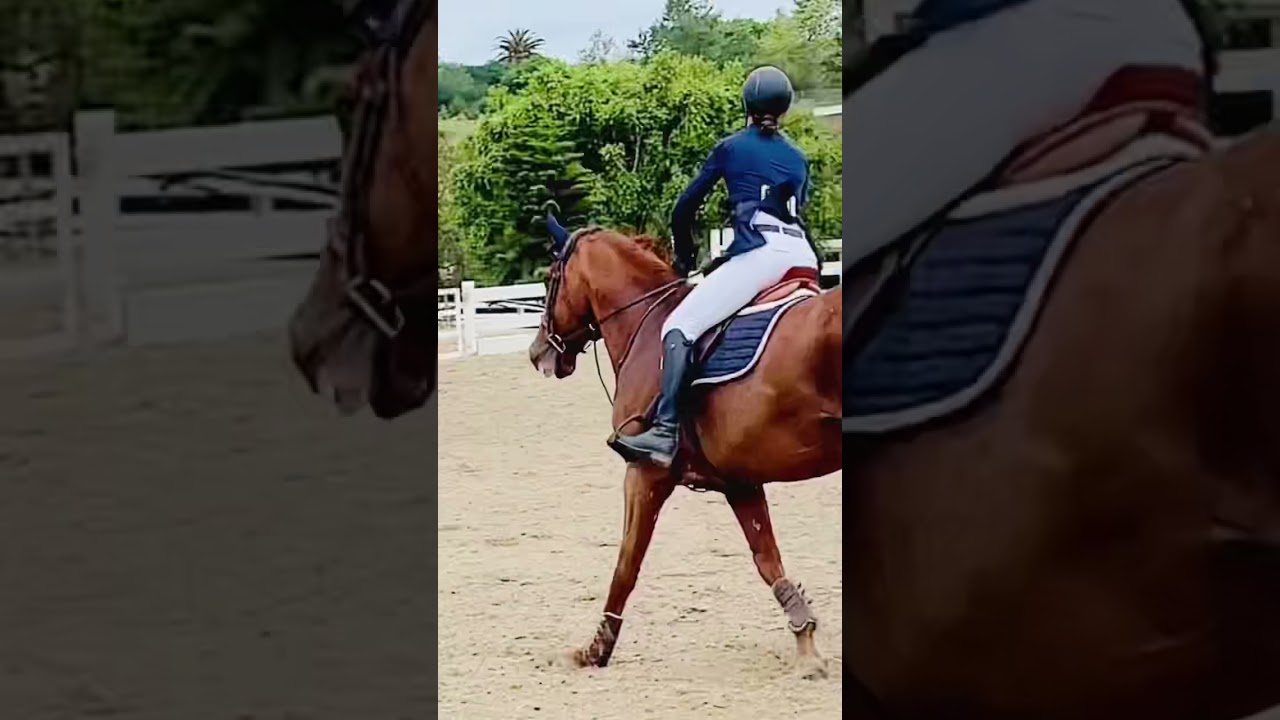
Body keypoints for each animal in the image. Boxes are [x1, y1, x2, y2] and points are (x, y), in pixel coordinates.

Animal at [527, 222, 842, 676]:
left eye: (552, 277)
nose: (538, 353)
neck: (646, 325)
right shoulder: (739, 482)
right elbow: (768, 561)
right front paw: (807, 648)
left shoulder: (645, 474)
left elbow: (626, 564)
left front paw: (596, 650)